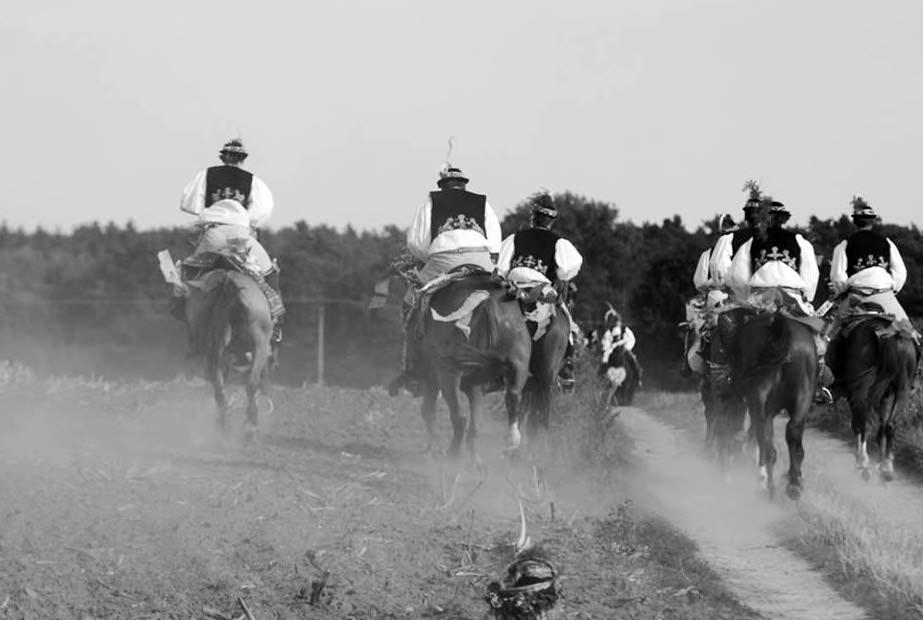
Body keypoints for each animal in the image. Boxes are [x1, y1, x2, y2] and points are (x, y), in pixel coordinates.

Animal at [184, 268, 274, 434]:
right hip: (256, 346)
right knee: (247, 384)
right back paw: (247, 425)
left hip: (220, 350)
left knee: (222, 388)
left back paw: (227, 426)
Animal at [720, 308, 820, 502]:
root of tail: (779, 328)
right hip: (801, 403)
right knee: (794, 439)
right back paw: (793, 486)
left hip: (759, 402)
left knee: (767, 446)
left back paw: (767, 487)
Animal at [832, 318, 920, 482]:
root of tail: (889, 334)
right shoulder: (885, 396)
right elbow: (881, 427)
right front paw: (881, 461)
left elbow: (858, 425)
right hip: (903, 389)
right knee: (890, 424)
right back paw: (887, 468)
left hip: (859, 391)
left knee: (862, 422)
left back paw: (863, 464)